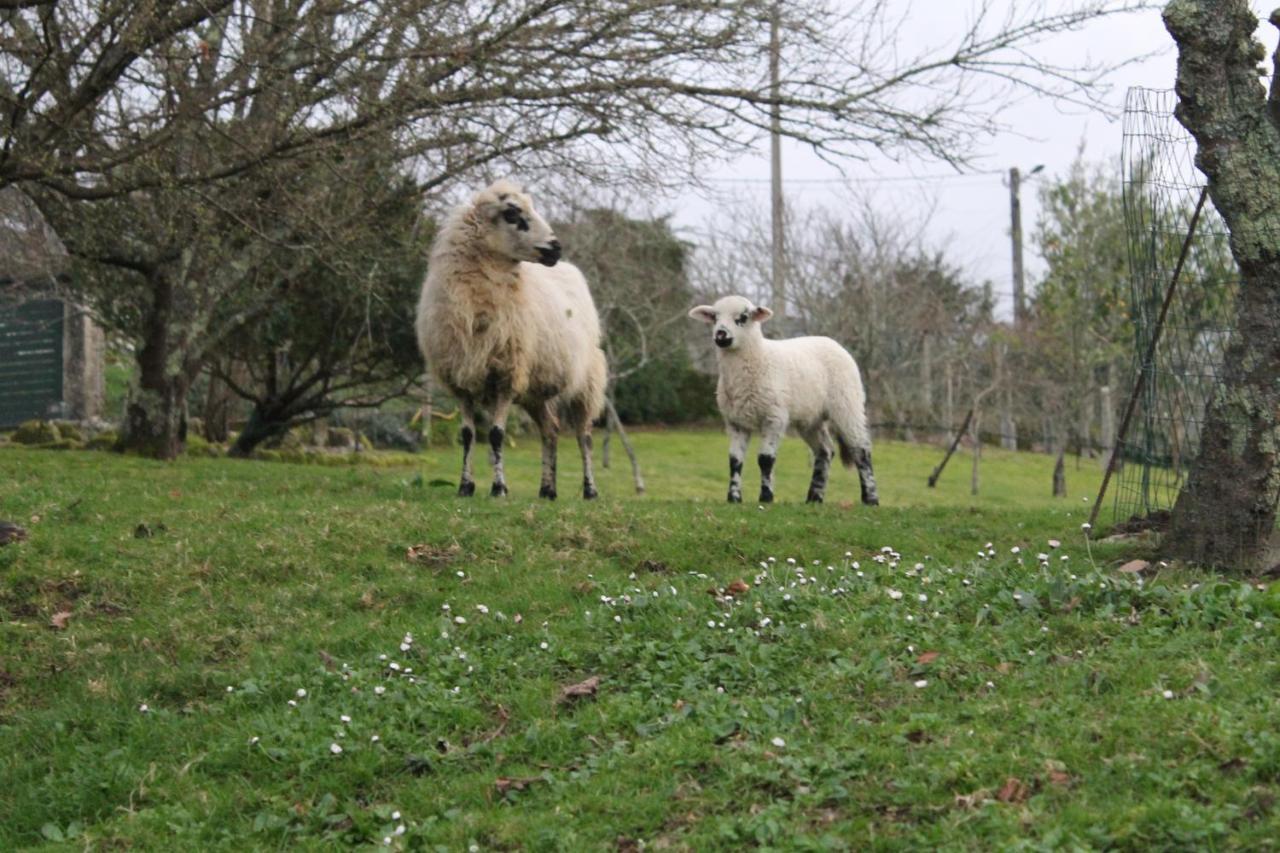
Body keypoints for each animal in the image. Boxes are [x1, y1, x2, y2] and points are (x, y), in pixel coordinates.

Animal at [414, 179, 604, 499]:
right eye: (512, 214)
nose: (556, 247)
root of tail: (573, 270)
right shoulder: (461, 380)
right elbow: (467, 435)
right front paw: (465, 486)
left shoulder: (506, 375)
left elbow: (496, 434)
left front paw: (499, 488)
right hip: (535, 391)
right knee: (550, 430)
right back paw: (547, 490)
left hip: (586, 383)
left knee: (584, 437)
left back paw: (590, 490)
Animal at [691, 294, 880, 504]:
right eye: (714, 318)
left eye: (743, 317)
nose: (721, 334)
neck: (759, 357)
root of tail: (833, 343)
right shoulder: (735, 422)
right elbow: (735, 461)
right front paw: (734, 498)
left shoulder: (774, 417)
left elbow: (765, 459)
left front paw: (766, 497)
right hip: (810, 418)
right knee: (825, 451)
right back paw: (814, 498)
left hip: (847, 403)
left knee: (861, 449)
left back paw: (870, 498)